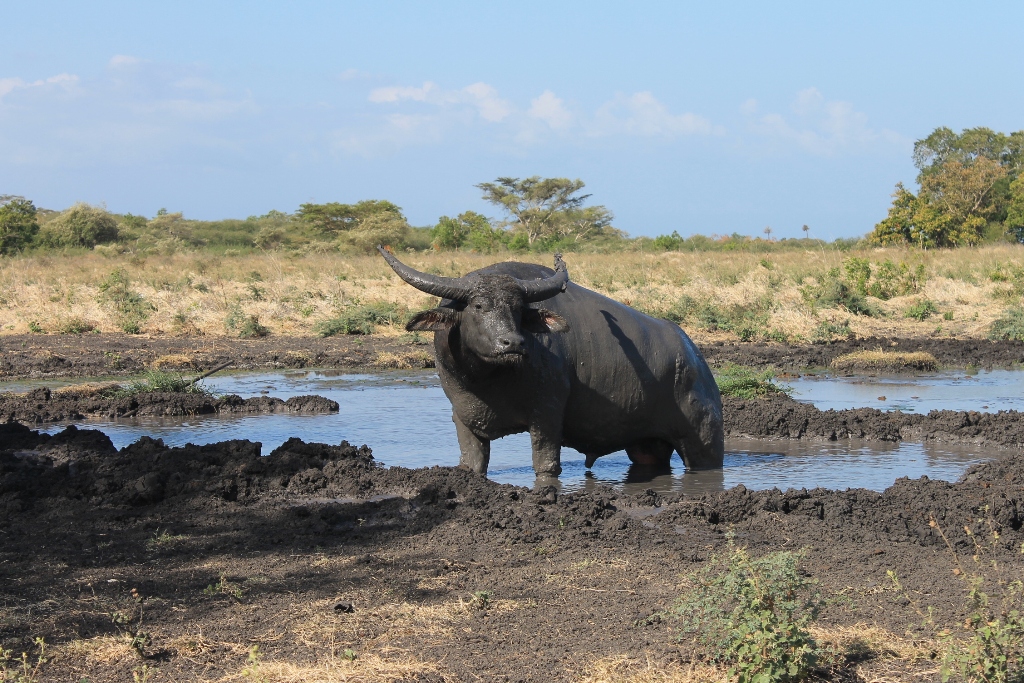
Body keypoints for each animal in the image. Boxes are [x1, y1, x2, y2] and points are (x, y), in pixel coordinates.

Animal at [380, 246, 724, 481]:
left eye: (518, 308)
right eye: (477, 306)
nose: (513, 343)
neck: (488, 381)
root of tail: (693, 356)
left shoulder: (546, 416)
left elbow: (545, 465)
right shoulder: (463, 420)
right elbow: (472, 464)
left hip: (704, 442)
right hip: (647, 448)